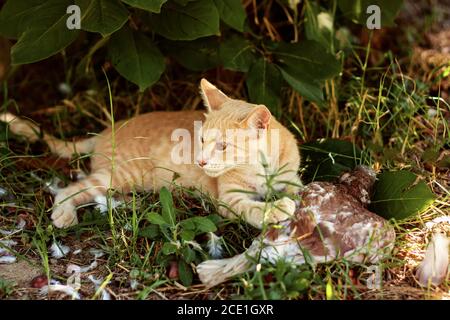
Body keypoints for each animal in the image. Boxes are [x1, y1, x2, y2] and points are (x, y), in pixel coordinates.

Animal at [1, 80, 302, 230]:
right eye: (202, 140)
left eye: (223, 146)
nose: (201, 161)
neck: (263, 169)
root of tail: (104, 131)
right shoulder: (229, 199)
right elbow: (253, 207)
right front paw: (275, 209)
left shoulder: (293, 180)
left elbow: (300, 191)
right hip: (120, 175)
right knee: (70, 189)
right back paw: (64, 214)